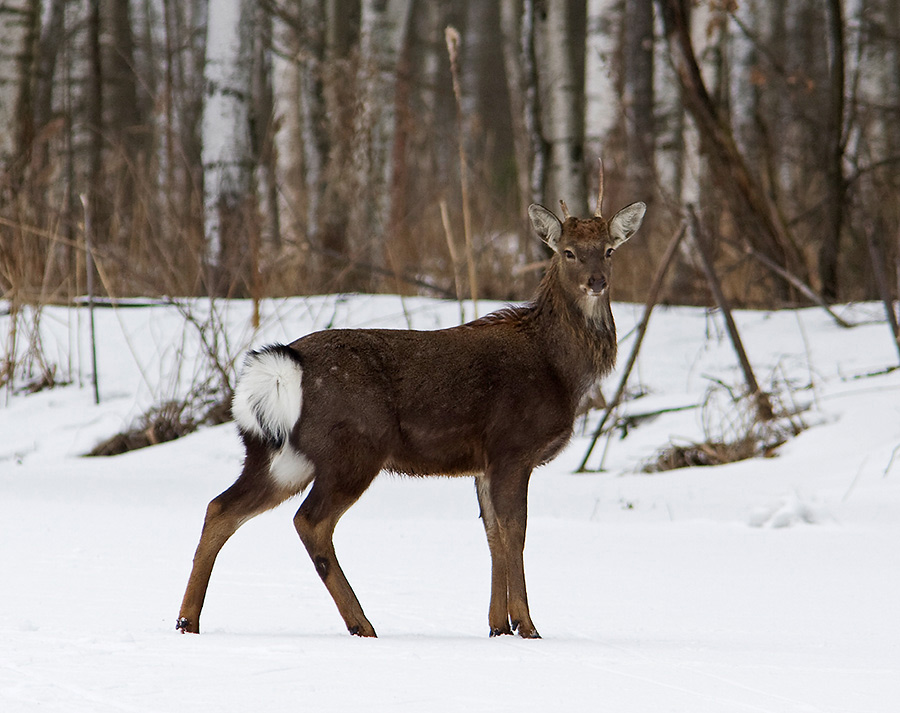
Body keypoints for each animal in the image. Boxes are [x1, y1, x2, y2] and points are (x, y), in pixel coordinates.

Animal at [176, 168, 644, 640]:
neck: (560, 370)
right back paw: (362, 624)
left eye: (608, 250)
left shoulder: (484, 462)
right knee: (309, 521)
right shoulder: (513, 447)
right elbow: (516, 533)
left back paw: (187, 621)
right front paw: (527, 626)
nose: (597, 281)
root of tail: (281, 368)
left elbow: (492, 534)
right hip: (355, 447)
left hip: (282, 454)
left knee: (221, 507)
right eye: (568, 252)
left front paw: (497, 627)